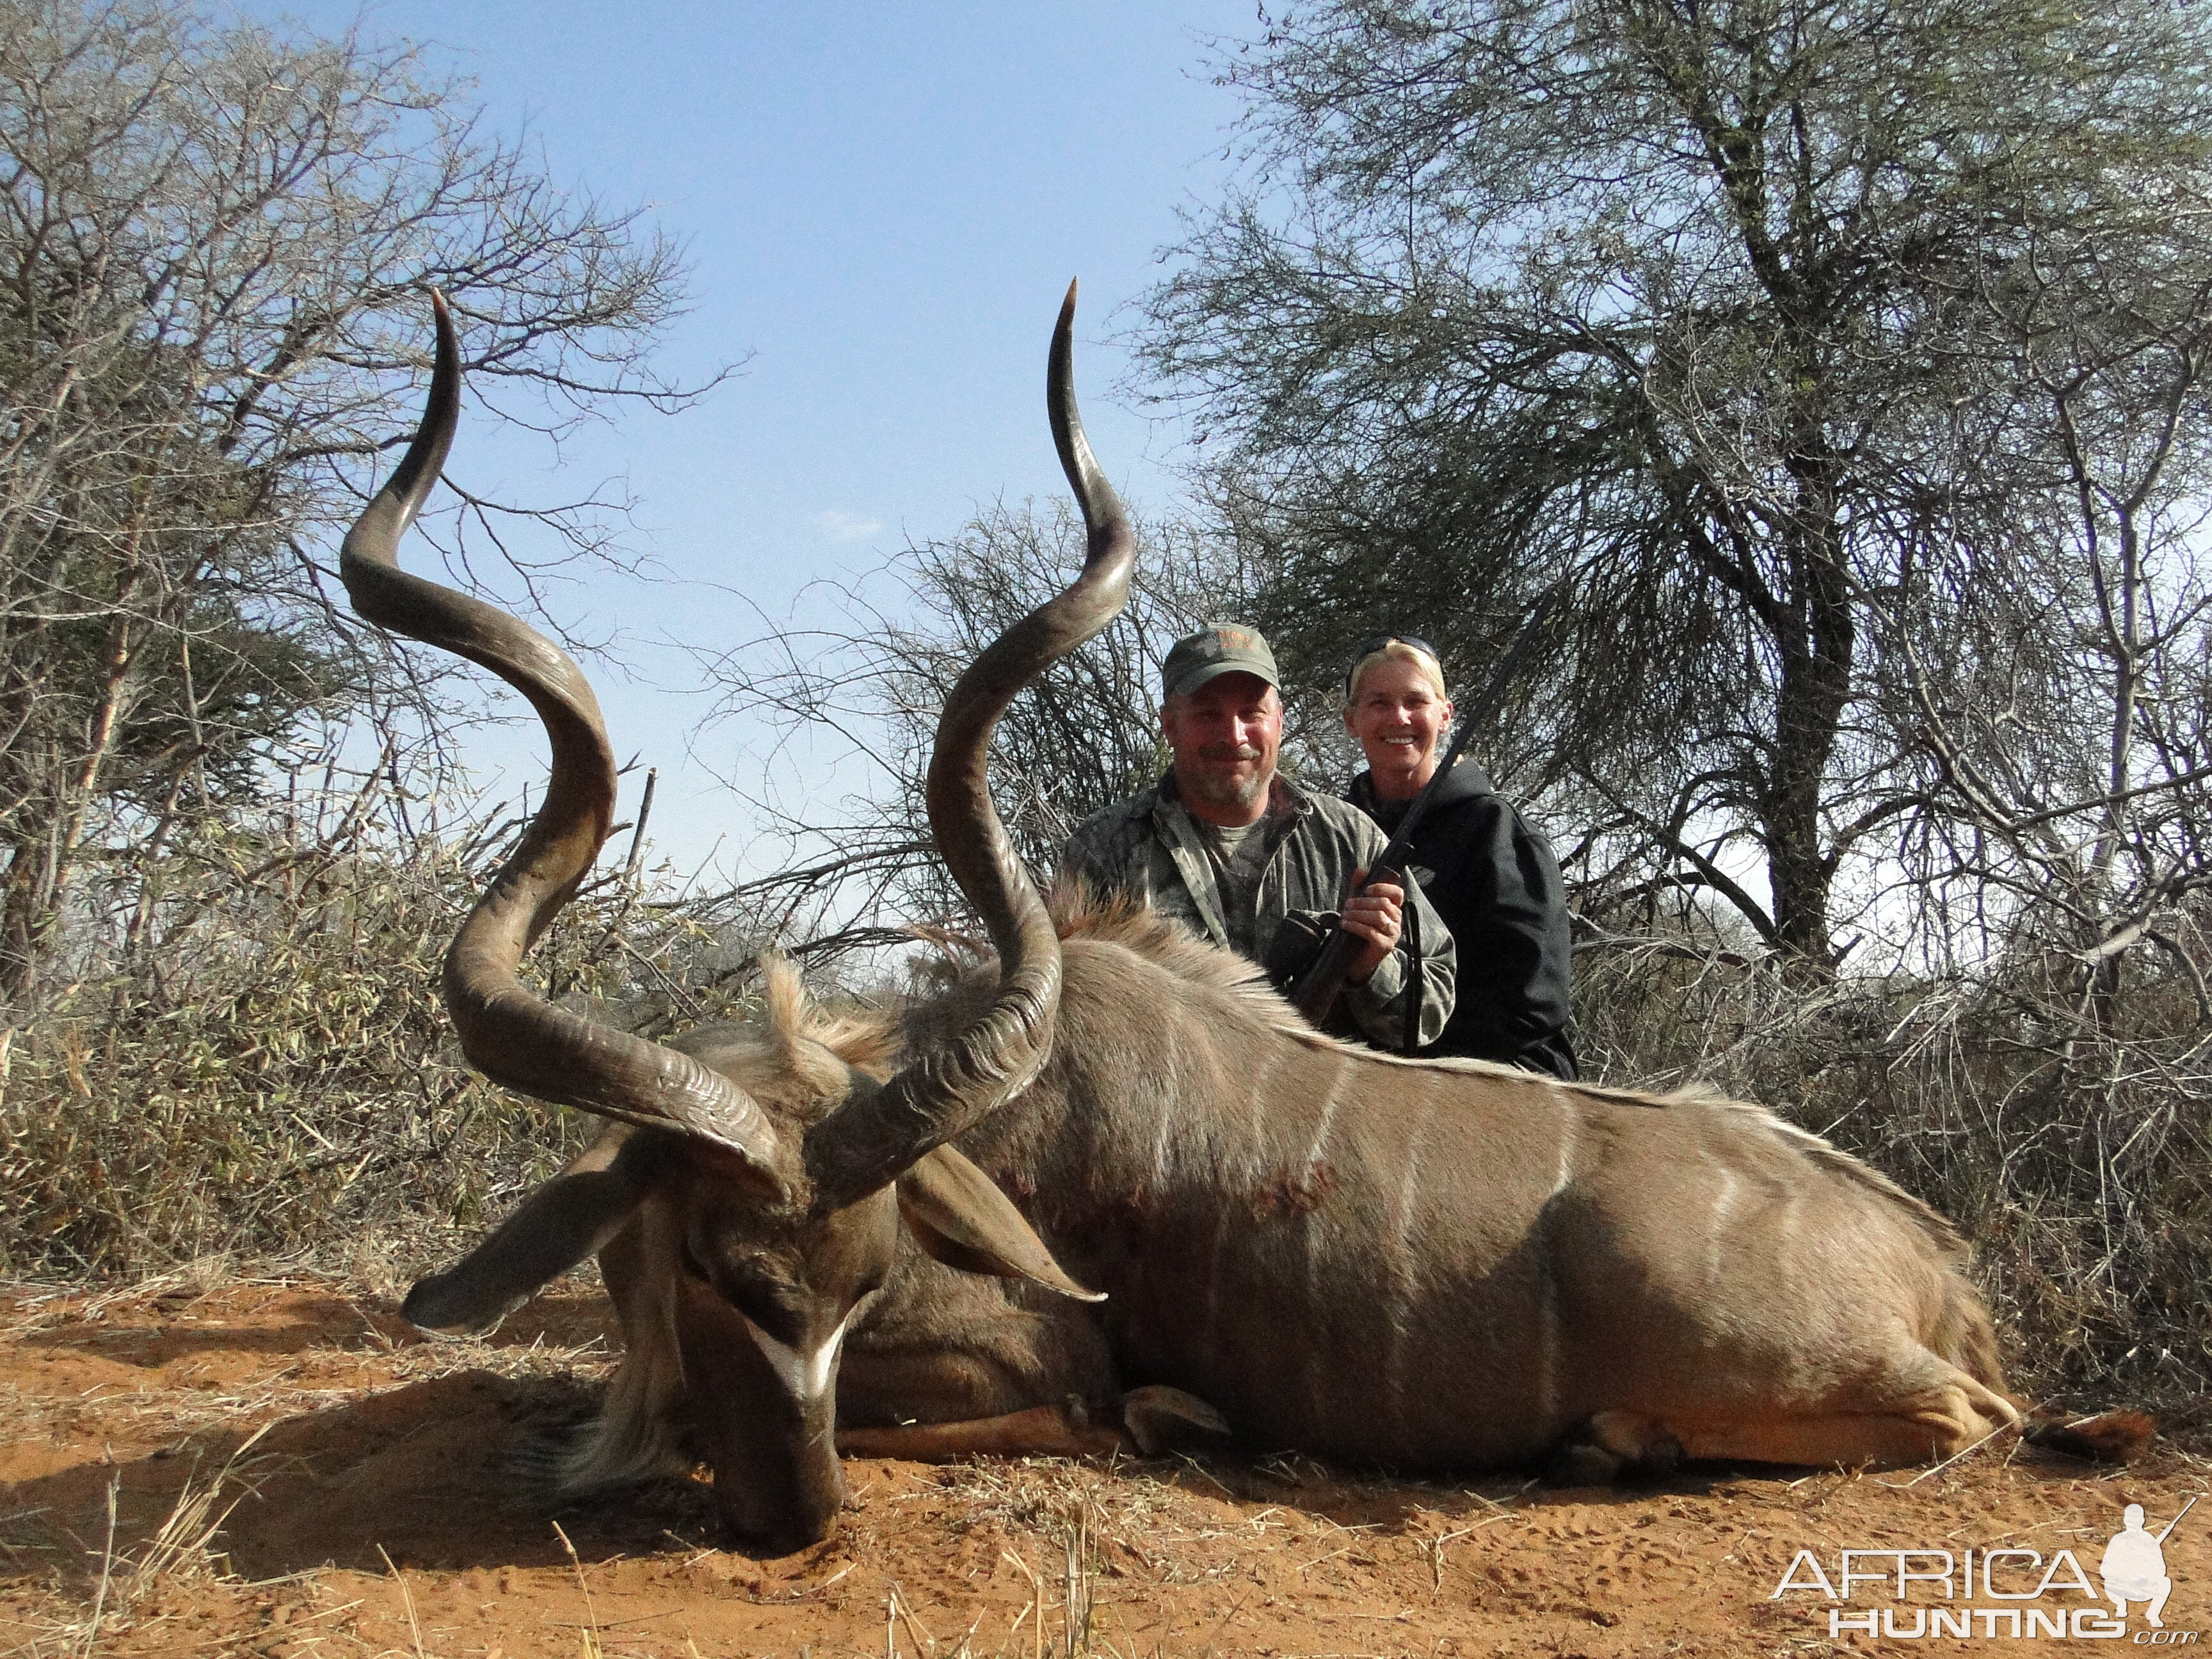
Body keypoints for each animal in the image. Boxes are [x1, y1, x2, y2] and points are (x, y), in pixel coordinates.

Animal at [345, 289, 2141, 1557]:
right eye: (725, 1272)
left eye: (860, 1285)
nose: (794, 1526)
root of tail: (1940, 1269)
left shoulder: (1023, 1366)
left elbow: (1067, 1407)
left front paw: (1169, 1414)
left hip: (1811, 1367)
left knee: (1966, 1416)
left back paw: (1620, 1441)